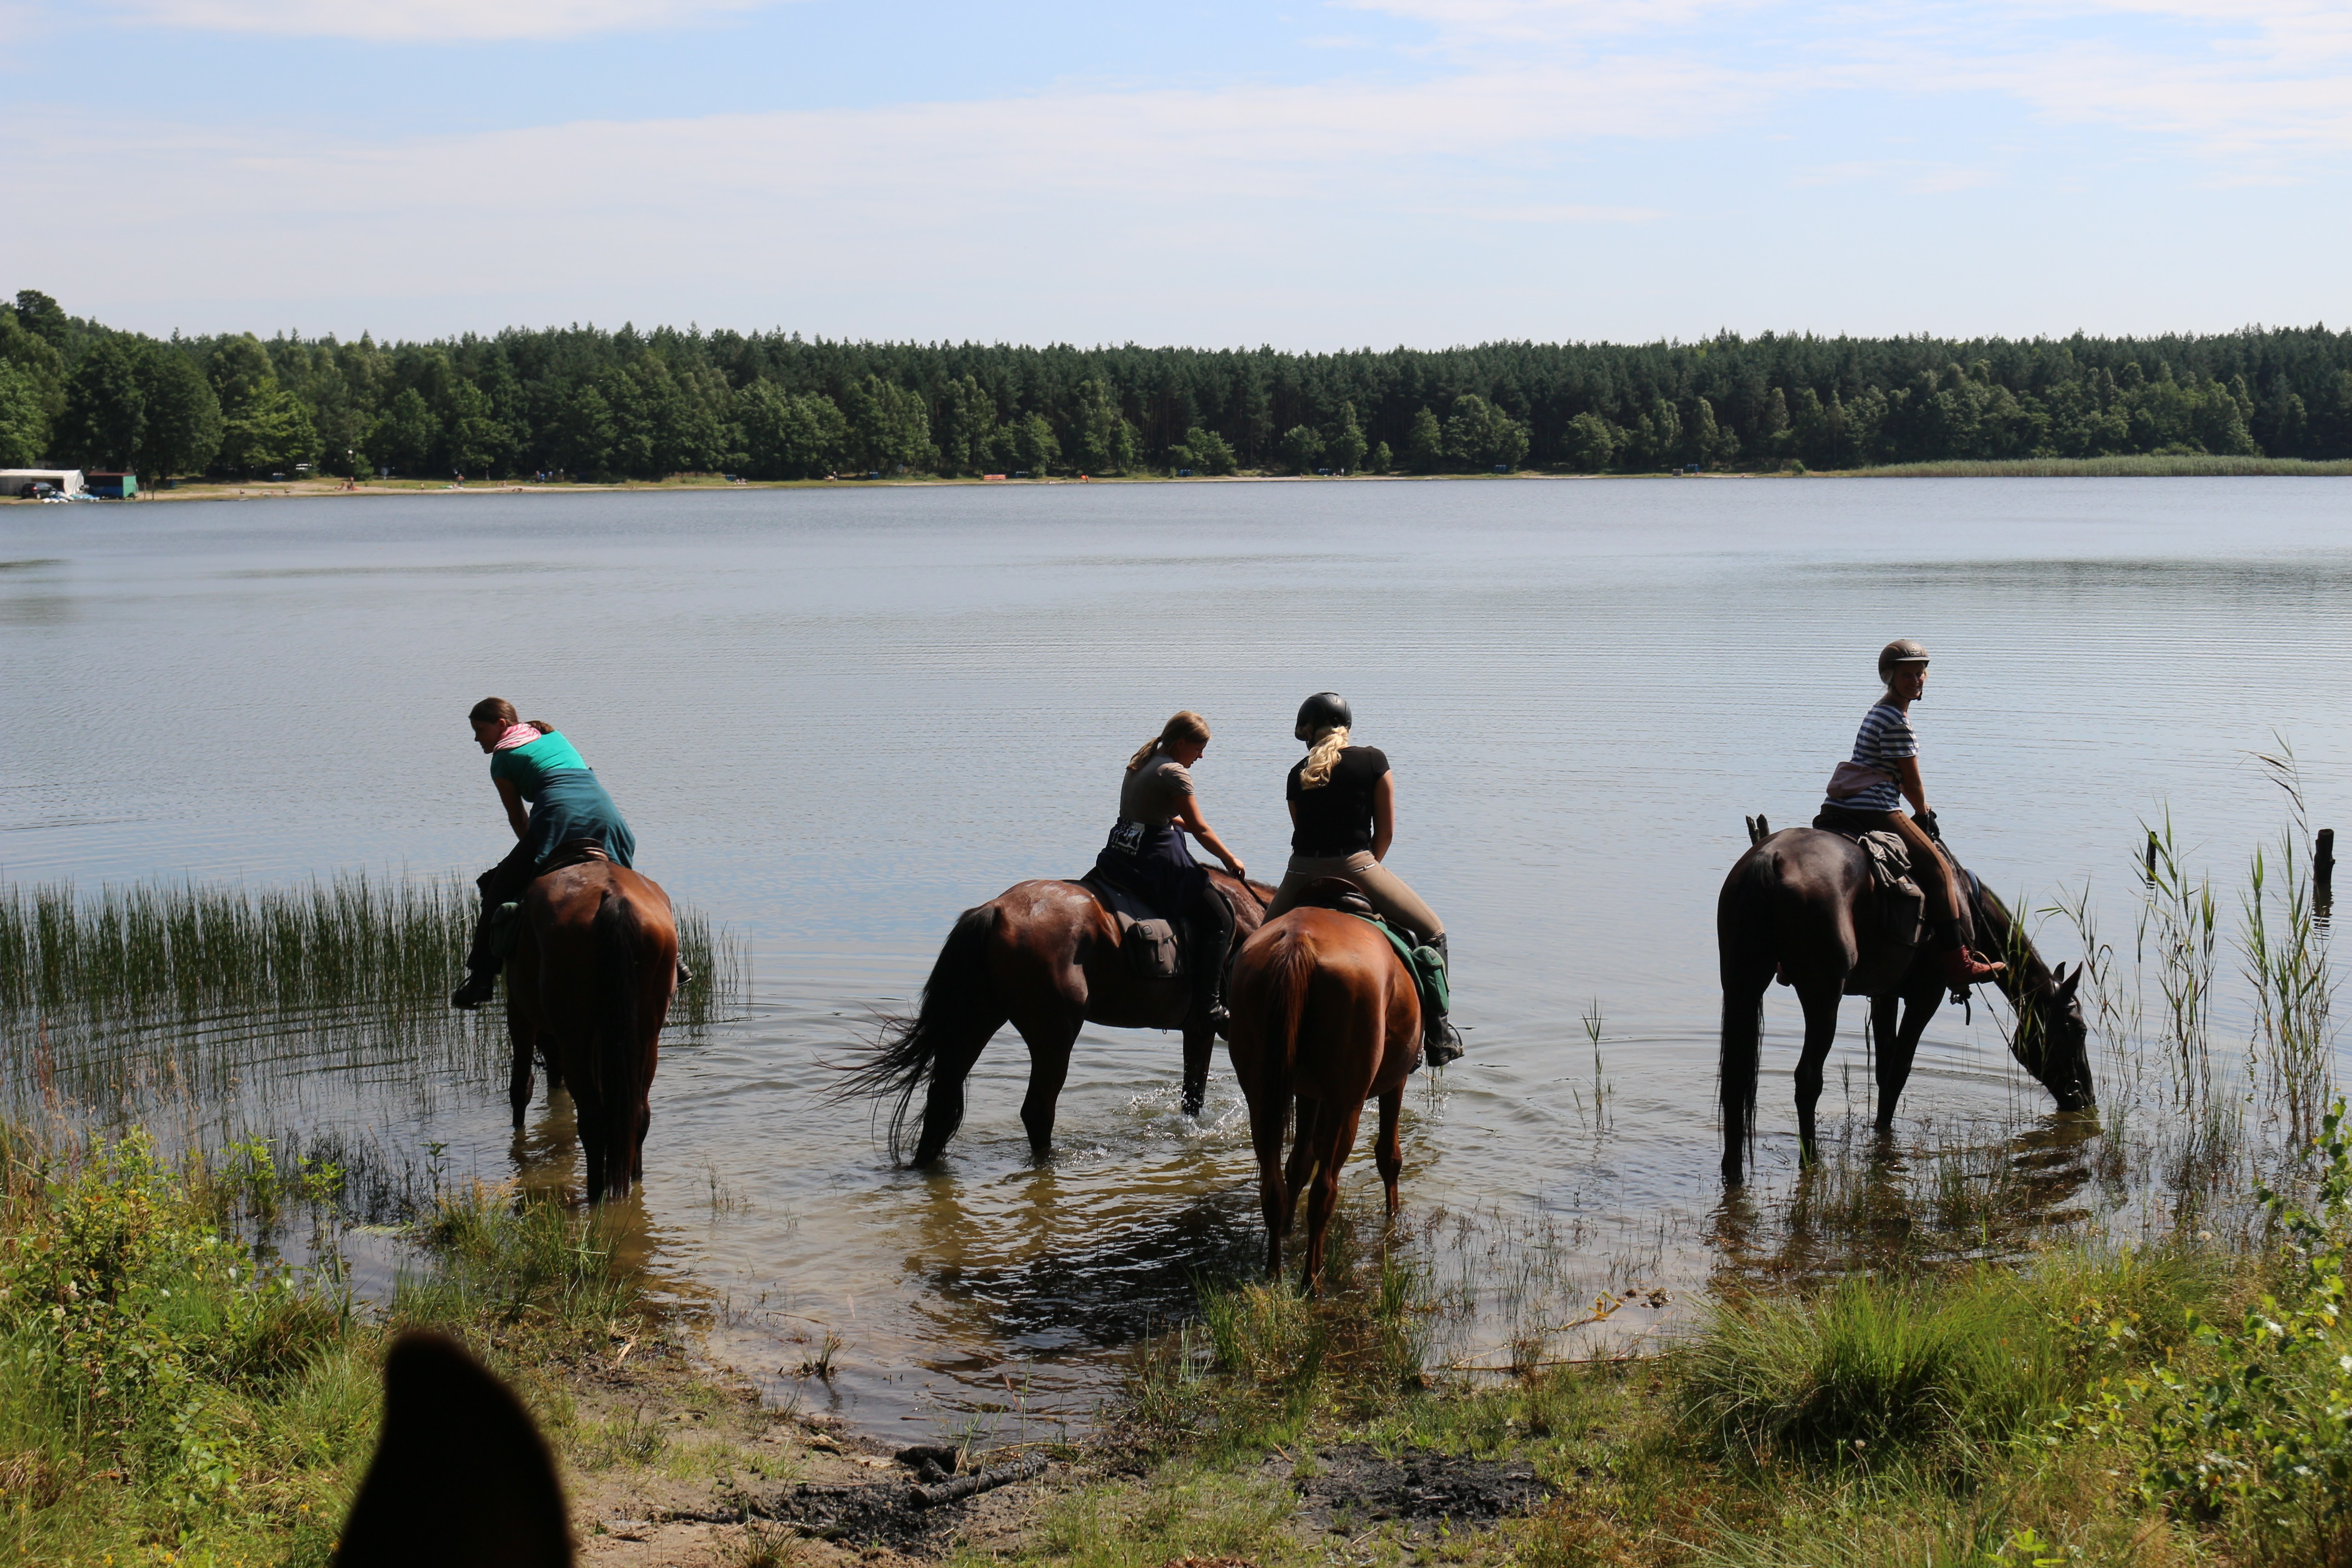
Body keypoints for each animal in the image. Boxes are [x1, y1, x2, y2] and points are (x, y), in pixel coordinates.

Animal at [503, 856, 679, 1202]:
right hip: (645, 1035)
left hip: (575, 1037)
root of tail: (613, 899)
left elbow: (520, 1088)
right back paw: (630, 1179)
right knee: (637, 1114)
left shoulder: (518, 1012)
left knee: (593, 1121)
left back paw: (598, 1193)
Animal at [842, 868, 1274, 1166]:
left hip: (975, 1022)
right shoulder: (1212, 1028)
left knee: (942, 1100)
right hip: (1055, 1036)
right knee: (1037, 1111)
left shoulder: (1197, 1030)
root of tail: (994, 911)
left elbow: (1192, 1097)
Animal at [1225, 906, 1422, 1289]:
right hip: (1346, 1105)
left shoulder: (1306, 1092)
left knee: (1273, 1184)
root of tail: (1299, 941)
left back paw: (1275, 1269)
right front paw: (1393, 1218)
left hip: (1261, 1096)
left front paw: (1289, 1227)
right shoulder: (1396, 1082)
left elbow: (1299, 1163)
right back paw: (1310, 1282)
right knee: (1324, 1191)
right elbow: (1389, 1157)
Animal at [1716, 824, 2094, 1186]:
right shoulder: (1926, 996)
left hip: (1741, 984)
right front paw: (1884, 1140)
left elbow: (1885, 1070)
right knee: (1808, 1079)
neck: (1968, 906)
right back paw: (1810, 1161)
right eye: (2078, 1030)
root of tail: (1771, 861)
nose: (2085, 1097)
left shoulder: (1885, 994)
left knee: (1735, 1080)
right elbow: (1898, 1073)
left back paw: (1733, 1170)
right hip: (1823, 996)